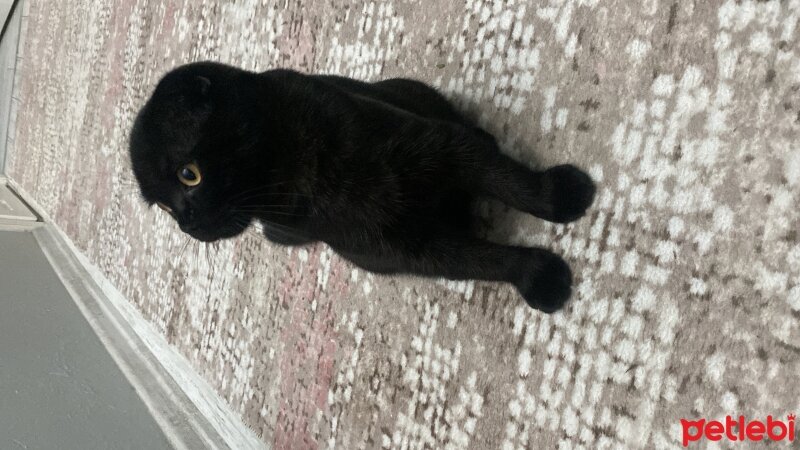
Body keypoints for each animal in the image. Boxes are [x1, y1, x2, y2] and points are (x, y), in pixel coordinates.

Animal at [130, 60, 592, 312]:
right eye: (164, 209)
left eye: (189, 174)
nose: (188, 225)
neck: (302, 175)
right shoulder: (403, 248)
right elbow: (481, 261)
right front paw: (541, 277)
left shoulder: (440, 146)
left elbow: (509, 181)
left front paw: (565, 194)